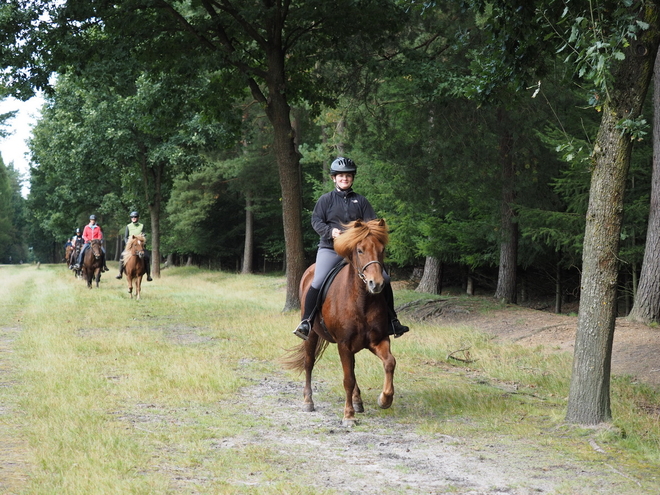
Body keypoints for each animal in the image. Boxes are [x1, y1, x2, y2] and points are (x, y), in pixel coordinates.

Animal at [284, 220, 398, 426]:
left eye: (382, 249)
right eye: (360, 250)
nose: (376, 284)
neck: (361, 301)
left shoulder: (378, 340)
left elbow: (389, 362)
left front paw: (385, 399)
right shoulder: (344, 344)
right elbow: (348, 379)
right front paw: (348, 415)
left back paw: (358, 400)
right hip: (312, 336)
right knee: (309, 363)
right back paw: (308, 401)